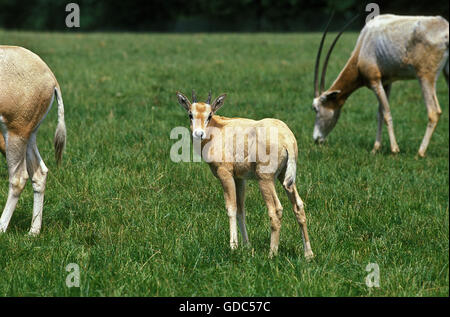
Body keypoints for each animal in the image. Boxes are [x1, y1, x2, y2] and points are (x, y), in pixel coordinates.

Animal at [0, 46, 66, 235]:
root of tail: (51, 78)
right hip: (29, 136)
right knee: (39, 173)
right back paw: (33, 232)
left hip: (15, 133)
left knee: (19, 177)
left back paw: (2, 228)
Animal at [176, 90, 312, 258]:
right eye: (190, 114)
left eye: (209, 115)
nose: (198, 134)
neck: (219, 130)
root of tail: (287, 138)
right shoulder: (240, 178)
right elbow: (241, 209)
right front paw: (247, 245)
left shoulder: (226, 175)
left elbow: (231, 208)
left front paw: (233, 246)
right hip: (284, 178)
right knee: (298, 206)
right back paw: (308, 254)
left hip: (265, 179)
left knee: (275, 210)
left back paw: (271, 254)